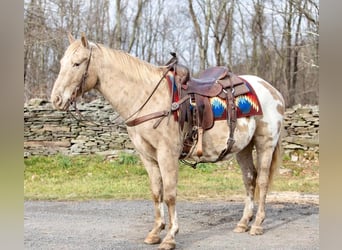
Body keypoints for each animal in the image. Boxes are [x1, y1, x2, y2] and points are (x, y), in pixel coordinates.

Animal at [51, 33, 286, 250]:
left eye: (77, 63)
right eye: (62, 62)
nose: (56, 99)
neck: (146, 98)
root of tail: (272, 91)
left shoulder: (167, 154)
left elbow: (170, 194)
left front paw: (170, 237)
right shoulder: (147, 156)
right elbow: (157, 192)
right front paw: (155, 232)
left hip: (265, 143)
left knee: (262, 181)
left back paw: (257, 224)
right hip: (243, 148)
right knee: (249, 179)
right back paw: (243, 222)